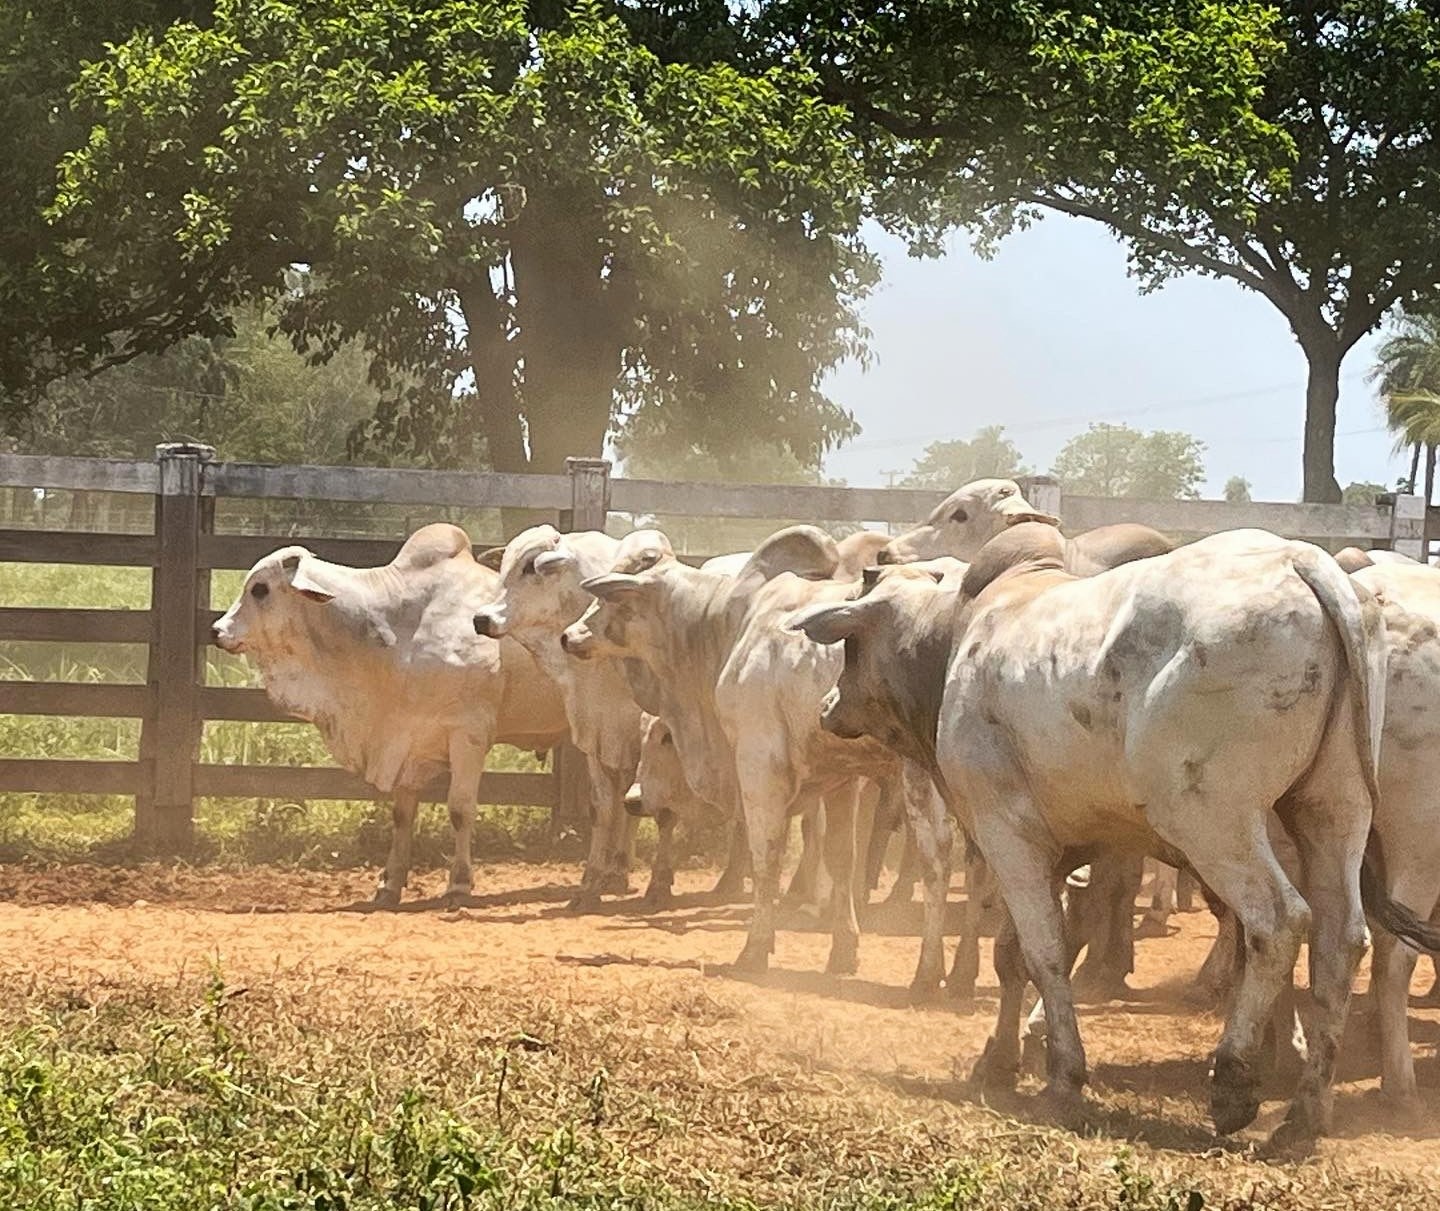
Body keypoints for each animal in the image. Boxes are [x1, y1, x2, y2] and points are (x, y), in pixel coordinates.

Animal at [211, 524, 567, 904]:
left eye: (260, 589)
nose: (217, 631)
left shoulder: (469, 734)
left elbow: (460, 809)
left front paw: (459, 884)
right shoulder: (405, 737)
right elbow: (402, 814)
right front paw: (390, 883)